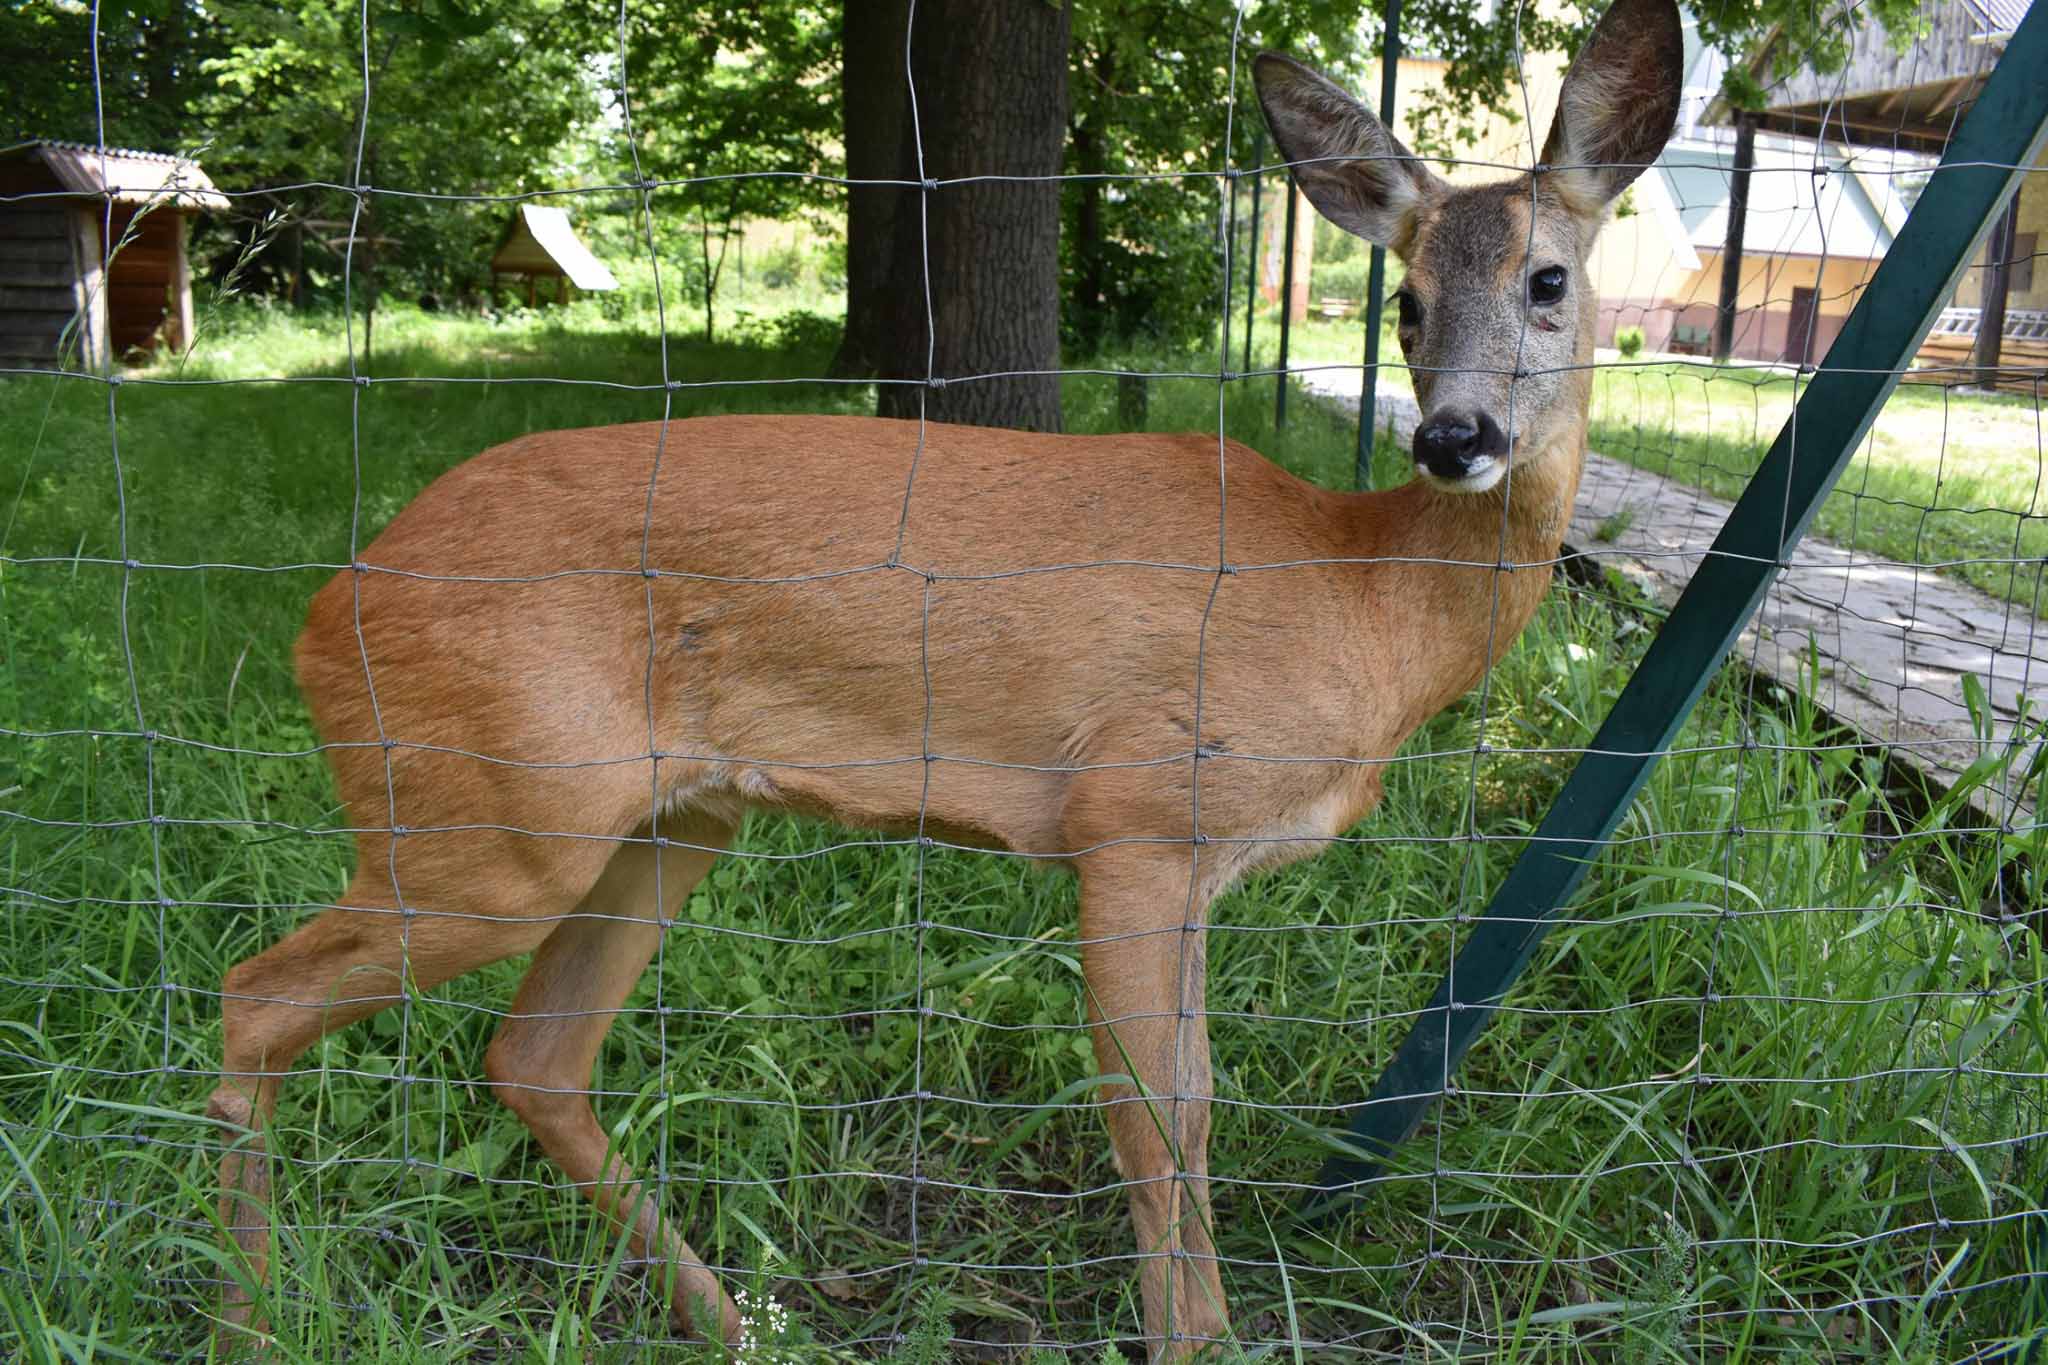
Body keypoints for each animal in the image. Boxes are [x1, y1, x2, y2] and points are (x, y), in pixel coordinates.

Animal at [207, 2, 1679, 1358]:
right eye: (1407, 302)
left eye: (1549, 280)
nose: (1454, 437)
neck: (1356, 591)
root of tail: (327, 612)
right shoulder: (1133, 815)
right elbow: (1157, 1126)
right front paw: (1188, 1337)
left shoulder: (1193, 861)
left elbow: (1192, 1109)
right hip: (485, 820)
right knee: (256, 997)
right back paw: (257, 1320)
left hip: (663, 820)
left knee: (531, 1057)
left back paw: (739, 1323)